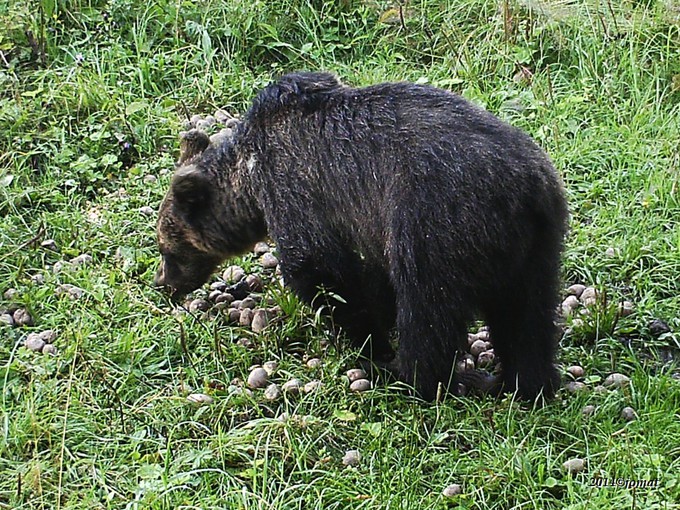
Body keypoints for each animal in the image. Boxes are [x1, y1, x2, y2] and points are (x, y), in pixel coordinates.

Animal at [155, 69, 568, 400]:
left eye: (166, 248)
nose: (164, 283)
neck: (247, 179)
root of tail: (523, 187)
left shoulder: (295, 189)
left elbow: (320, 270)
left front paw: (370, 343)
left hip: (434, 223)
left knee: (428, 309)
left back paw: (413, 377)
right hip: (539, 242)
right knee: (527, 314)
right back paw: (525, 382)